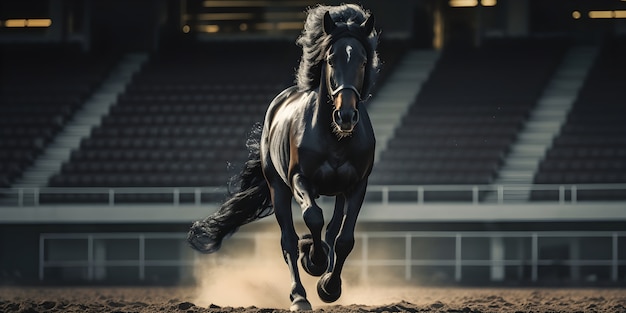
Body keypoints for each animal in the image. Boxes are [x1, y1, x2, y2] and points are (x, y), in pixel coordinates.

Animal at [188, 4, 378, 310]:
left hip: (337, 191)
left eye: (362, 62)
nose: (346, 116)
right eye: (331, 59)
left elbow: (344, 239)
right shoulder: (299, 179)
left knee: (331, 231)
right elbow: (313, 217)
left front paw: (329, 286)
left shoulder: (357, 185)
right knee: (288, 240)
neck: (333, 137)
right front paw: (313, 259)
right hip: (278, 188)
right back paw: (299, 295)